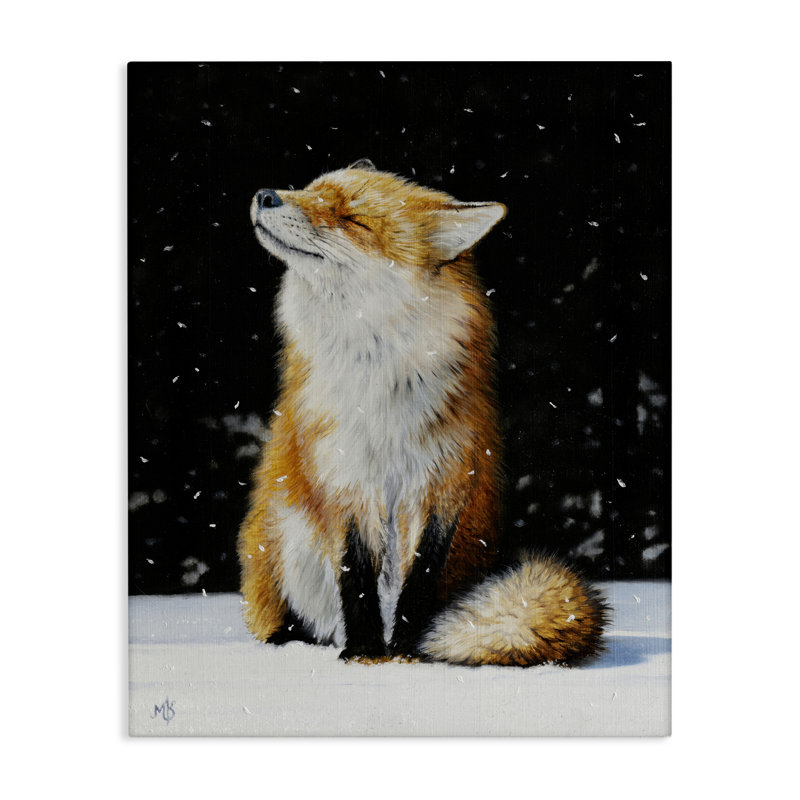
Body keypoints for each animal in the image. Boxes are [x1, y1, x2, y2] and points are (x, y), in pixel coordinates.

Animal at [238, 159, 607, 666]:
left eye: (354, 220)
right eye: (312, 189)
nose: (265, 195)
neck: (380, 393)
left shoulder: (445, 481)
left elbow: (421, 580)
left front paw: (407, 651)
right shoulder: (345, 483)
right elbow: (356, 578)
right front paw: (366, 653)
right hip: (281, 539)